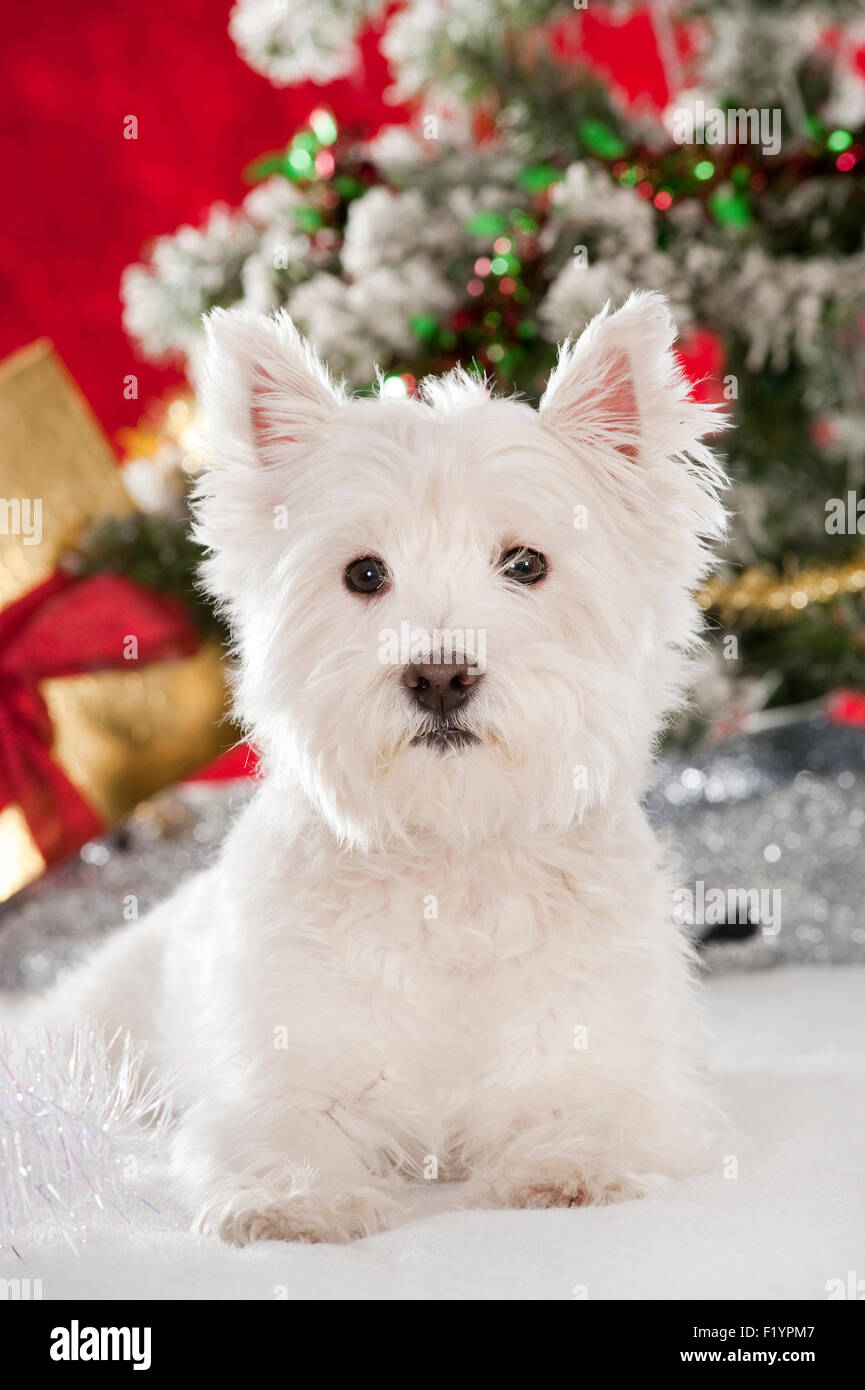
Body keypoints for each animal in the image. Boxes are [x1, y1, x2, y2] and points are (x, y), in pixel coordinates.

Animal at [33, 293, 728, 1251]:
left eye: (526, 563)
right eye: (364, 573)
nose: (439, 674)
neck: (449, 859)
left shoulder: (604, 1056)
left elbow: (586, 1110)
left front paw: (563, 1171)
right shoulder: (278, 1073)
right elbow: (279, 1132)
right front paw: (291, 1205)